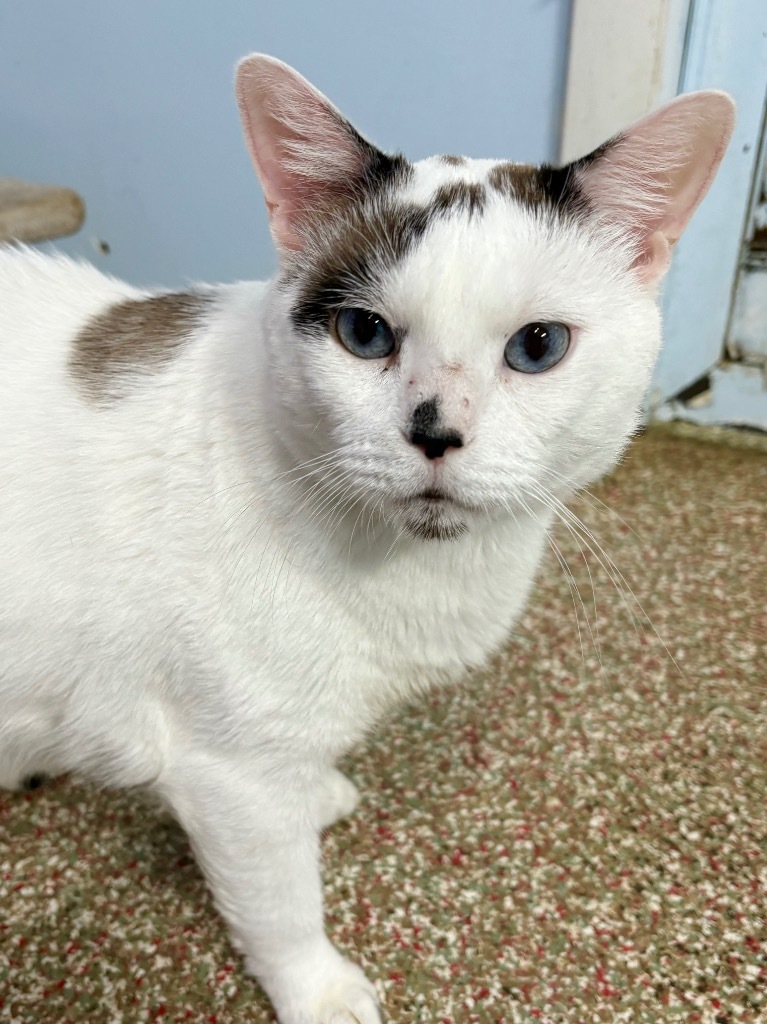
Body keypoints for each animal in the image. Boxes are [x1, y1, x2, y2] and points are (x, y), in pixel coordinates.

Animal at [0, 54, 729, 1024]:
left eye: (537, 346)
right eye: (363, 333)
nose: (435, 432)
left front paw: (319, 792)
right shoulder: (231, 777)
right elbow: (278, 901)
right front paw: (316, 988)